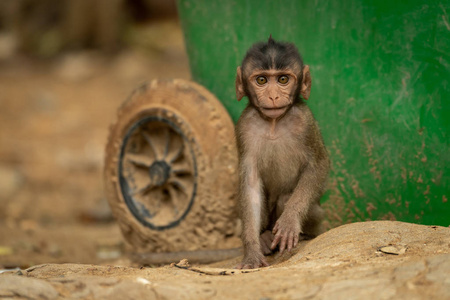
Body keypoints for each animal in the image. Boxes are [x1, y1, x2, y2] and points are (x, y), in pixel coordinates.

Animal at [236, 36, 330, 268]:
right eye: (261, 80)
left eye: (283, 80)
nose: (273, 96)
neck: (274, 123)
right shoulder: (244, 126)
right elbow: (250, 183)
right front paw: (251, 251)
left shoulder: (305, 121)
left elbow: (319, 164)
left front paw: (289, 222)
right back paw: (264, 236)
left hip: (317, 214)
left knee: (285, 197)